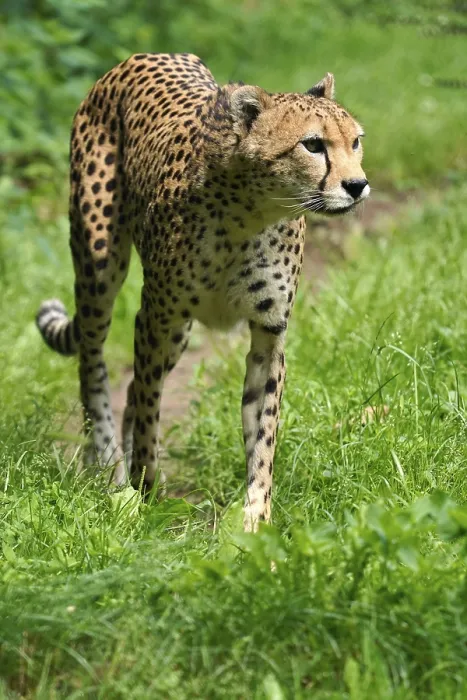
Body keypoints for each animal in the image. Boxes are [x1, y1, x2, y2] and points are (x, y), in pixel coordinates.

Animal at [36, 52, 369, 532]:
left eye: (356, 142)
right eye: (313, 145)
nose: (357, 186)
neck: (251, 213)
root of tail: (142, 57)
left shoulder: (268, 333)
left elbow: (263, 429)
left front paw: (256, 515)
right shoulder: (154, 317)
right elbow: (151, 412)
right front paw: (145, 495)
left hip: (179, 334)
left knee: (131, 389)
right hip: (101, 270)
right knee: (94, 366)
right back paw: (108, 465)